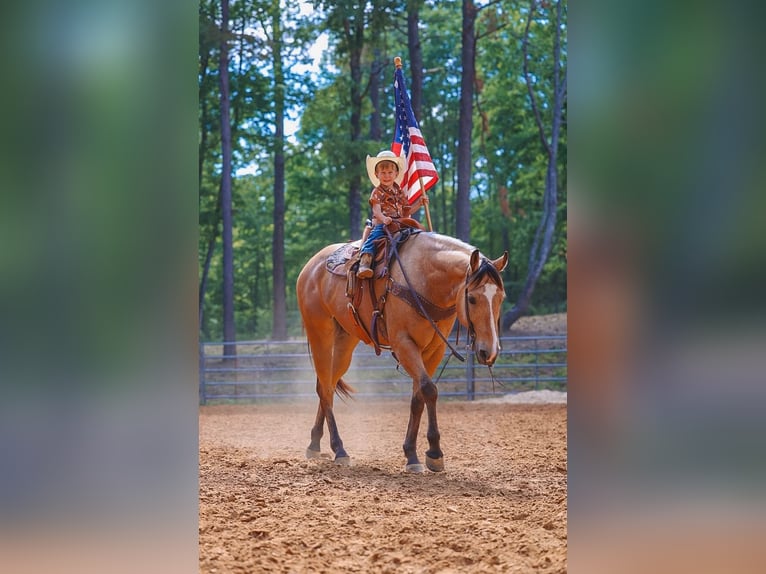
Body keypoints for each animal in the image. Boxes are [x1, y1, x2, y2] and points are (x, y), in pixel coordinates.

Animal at [296, 231, 508, 472]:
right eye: (472, 299)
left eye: (501, 298)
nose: (489, 351)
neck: (425, 279)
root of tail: (310, 266)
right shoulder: (404, 344)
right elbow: (429, 390)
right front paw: (434, 453)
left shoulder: (434, 349)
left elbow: (418, 397)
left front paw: (411, 454)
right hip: (320, 333)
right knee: (324, 388)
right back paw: (339, 449)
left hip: (346, 341)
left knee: (328, 385)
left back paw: (314, 443)